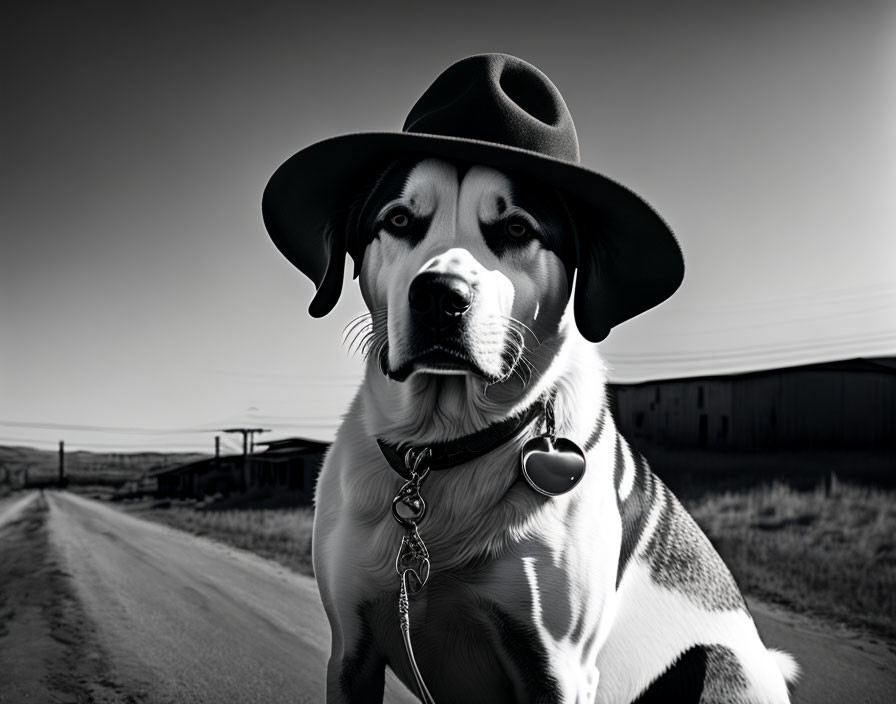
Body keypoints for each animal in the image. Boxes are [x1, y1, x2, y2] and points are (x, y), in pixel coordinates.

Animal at [260, 56, 800, 704]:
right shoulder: (351, 648)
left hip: (723, 663)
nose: (439, 297)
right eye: (398, 219)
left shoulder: (555, 665)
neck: (441, 449)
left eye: (516, 229)